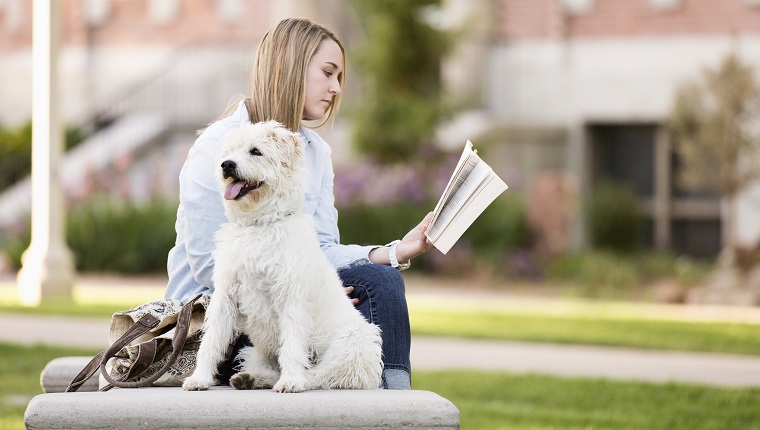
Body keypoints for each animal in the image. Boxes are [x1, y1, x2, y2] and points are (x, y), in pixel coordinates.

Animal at [183, 120, 386, 394]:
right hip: (255, 351)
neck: (259, 226)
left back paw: (293, 379)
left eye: (256, 151)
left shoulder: (290, 296)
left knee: (321, 375)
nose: (227, 165)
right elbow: (211, 340)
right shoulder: (226, 296)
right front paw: (200, 378)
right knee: (272, 368)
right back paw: (249, 378)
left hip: (353, 345)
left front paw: (291, 381)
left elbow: (291, 345)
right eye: (229, 152)